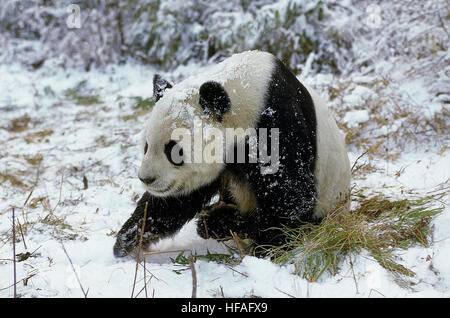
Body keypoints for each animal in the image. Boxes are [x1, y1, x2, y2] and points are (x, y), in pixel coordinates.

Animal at [113, 51, 352, 258]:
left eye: (173, 150)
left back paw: (221, 222)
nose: (147, 178)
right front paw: (127, 241)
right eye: (146, 146)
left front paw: (266, 249)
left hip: (328, 201)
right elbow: (175, 201)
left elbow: (291, 195)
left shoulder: (276, 123)